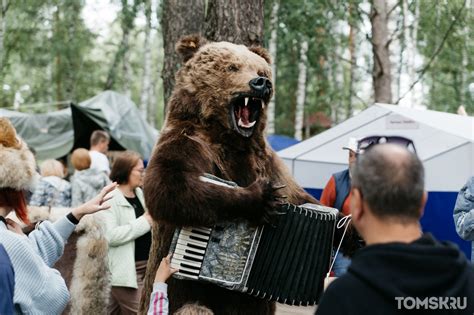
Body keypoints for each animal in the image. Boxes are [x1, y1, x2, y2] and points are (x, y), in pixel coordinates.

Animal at [143, 35, 316, 315]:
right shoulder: (185, 142)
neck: (233, 139)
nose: (261, 84)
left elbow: (299, 195)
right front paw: (261, 198)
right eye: (232, 67)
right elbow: (169, 188)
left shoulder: (268, 159)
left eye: (262, 71)